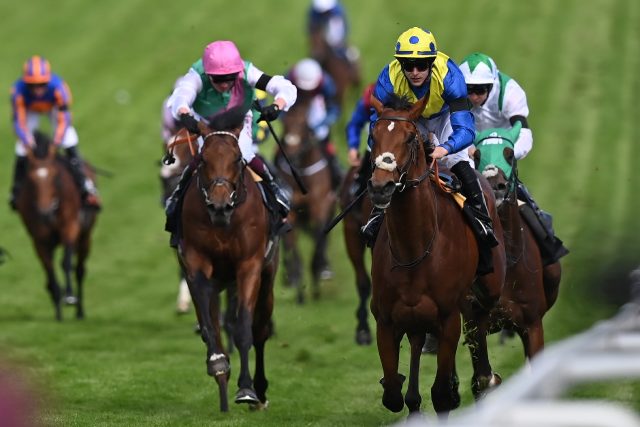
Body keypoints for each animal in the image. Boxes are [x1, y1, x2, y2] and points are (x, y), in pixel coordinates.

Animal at [15, 130, 99, 320]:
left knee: (80, 270)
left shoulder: (70, 227)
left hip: (86, 237)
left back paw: (80, 311)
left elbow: (66, 262)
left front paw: (69, 296)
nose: (45, 211)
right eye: (31, 178)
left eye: (54, 175)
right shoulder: (39, 239)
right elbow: (49, 268)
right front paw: (58, 306)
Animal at [176, 105, 276, 412]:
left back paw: (260, 391)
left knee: (260, 330)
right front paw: (218, 363)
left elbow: (244, 328)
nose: (220, 205)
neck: (224, 222)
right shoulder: (195, 264)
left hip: (268, 277)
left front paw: (247, 389)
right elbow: (210, 326)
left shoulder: (249, 265)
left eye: (236, 158)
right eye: (203, 159)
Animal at [276, 90, 338, 304]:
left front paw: (316, 274)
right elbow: (293, 246)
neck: (300, 172)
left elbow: (319, 237)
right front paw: (299, 287)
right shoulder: (292, 212)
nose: (293, 153)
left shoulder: (320, 205)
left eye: (304, 123)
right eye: (285, 123)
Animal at [368, 93, 508, 414]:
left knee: (478, 323)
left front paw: (459, 387)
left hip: (488, 288)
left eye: (410, 138)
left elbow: (442, 394)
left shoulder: (447, 318)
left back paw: (486, 378)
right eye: (373, 135)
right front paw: (401, 386)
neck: (414, 249)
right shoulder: (386, 320)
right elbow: (393, 392)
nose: (381, 187)